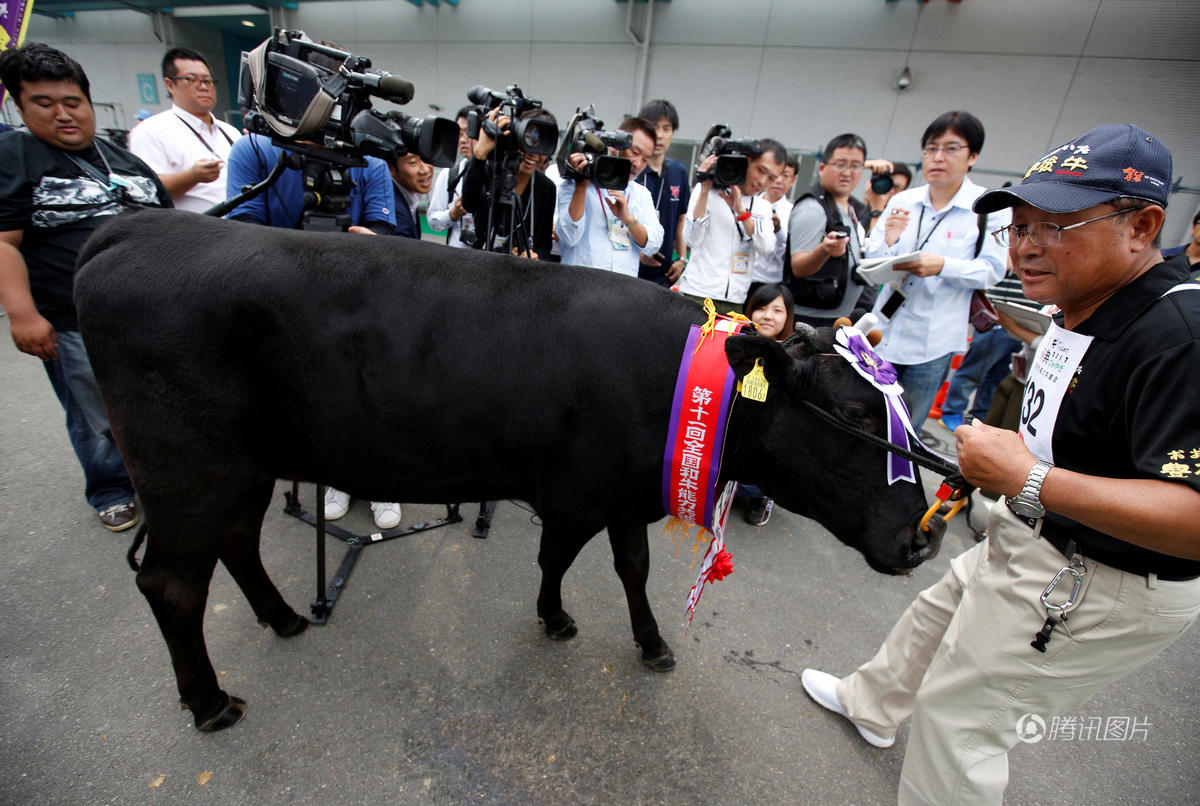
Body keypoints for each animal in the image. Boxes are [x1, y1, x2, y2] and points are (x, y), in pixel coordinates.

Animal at [75, 209, 940, 729]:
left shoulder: (624, 492)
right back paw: (210, 701)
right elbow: (558, 557)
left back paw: (282, 617)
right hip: (189, 470)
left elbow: (632, 566)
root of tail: (136, 225)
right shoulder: (577, 493)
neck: (677, 377)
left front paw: (649, 641)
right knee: (173, 584)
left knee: (237, 543)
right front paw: (556, 618)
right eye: (858, 415)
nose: (924, 538)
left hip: (244, 468)